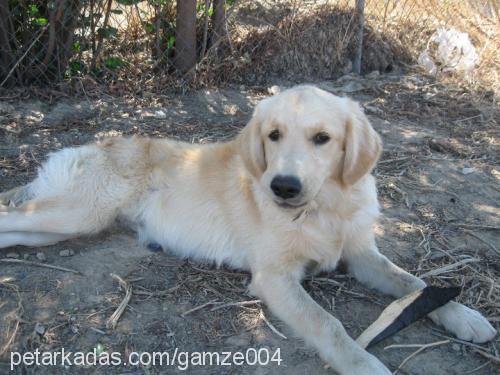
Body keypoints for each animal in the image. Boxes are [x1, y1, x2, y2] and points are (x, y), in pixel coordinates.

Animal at [0, 86, 492, 374]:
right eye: (273, 135)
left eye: (322, 139)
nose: (284, 186)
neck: (323, 207)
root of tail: (88, 144)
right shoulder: (274, 277)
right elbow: (329, 323)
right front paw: (363, 363)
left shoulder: (361, 255)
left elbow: (416, 284)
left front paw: (464, 316)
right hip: (77, 212)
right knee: (12, 215)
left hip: (63, 225)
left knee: (16, 228)